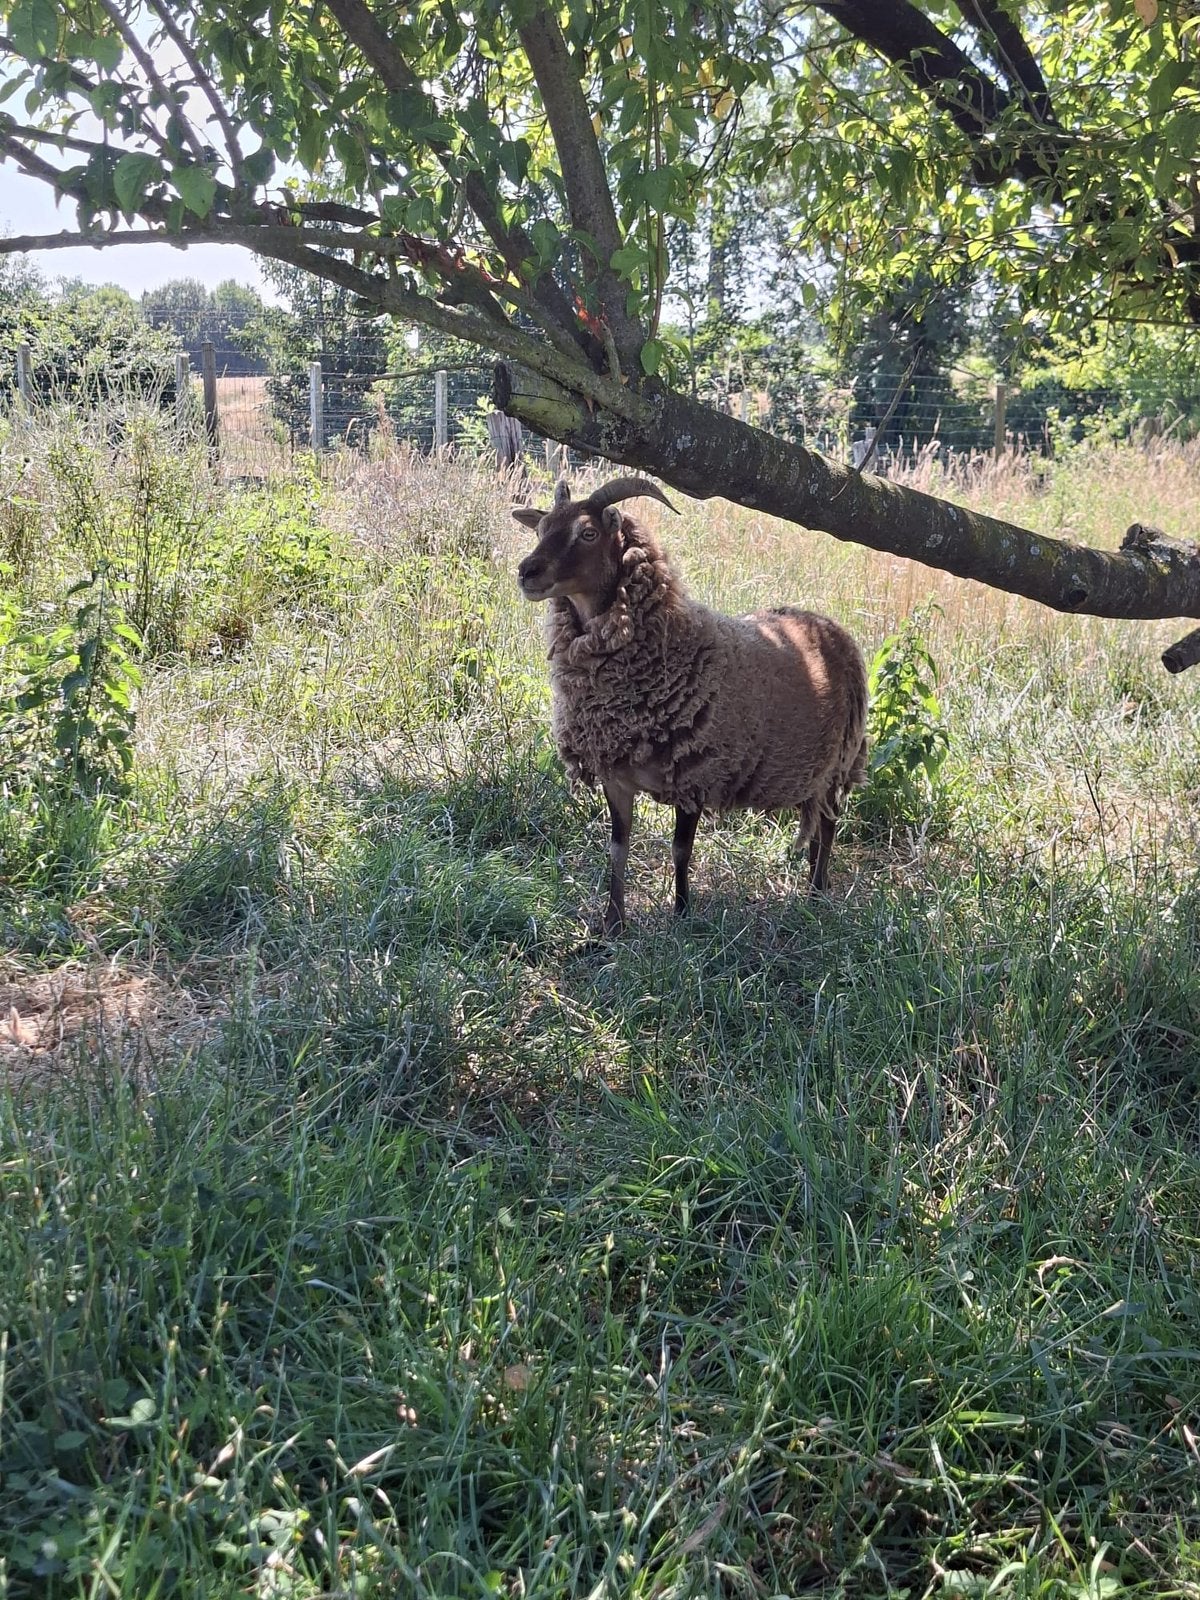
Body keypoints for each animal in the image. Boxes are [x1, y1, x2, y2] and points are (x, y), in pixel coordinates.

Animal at [514, 477, 868, 933]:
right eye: (541, 529)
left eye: (588, 533)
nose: (526, 572)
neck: (668, 643)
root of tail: (830, 626)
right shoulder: (615, 776)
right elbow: (617, 848)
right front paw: (612, 923)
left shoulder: (695, 773)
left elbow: (681, 849)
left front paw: (682, 913)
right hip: (816, 769)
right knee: (819, 823)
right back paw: (811, 887)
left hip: (840, 760)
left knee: (828, 825)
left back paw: (818, 894)